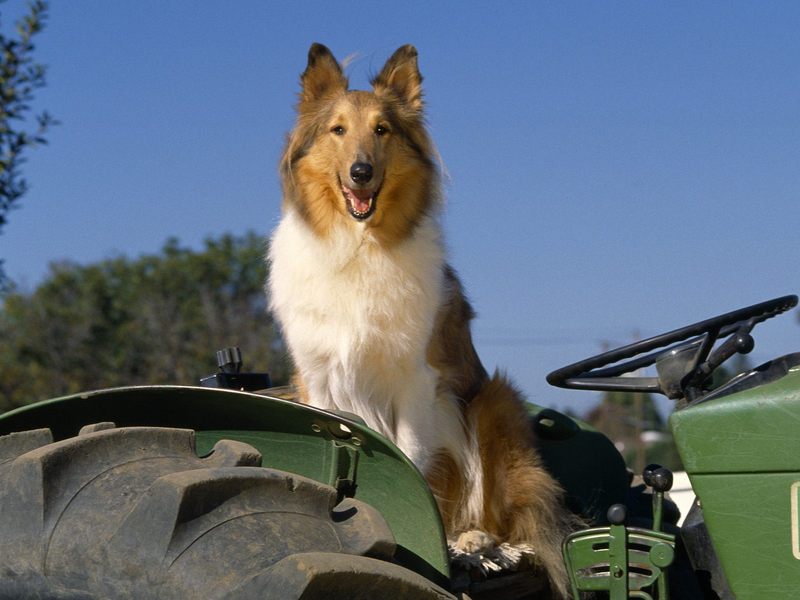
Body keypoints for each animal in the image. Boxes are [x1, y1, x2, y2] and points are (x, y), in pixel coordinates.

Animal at [268, 44, 576, 596]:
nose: (361, 172)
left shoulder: (416, 378)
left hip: (494, 403)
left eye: (382, 129)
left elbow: (409, 463)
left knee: (510, 520)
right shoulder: (317, 379)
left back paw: (473, 542)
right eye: (337, 130)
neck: (359, 247)